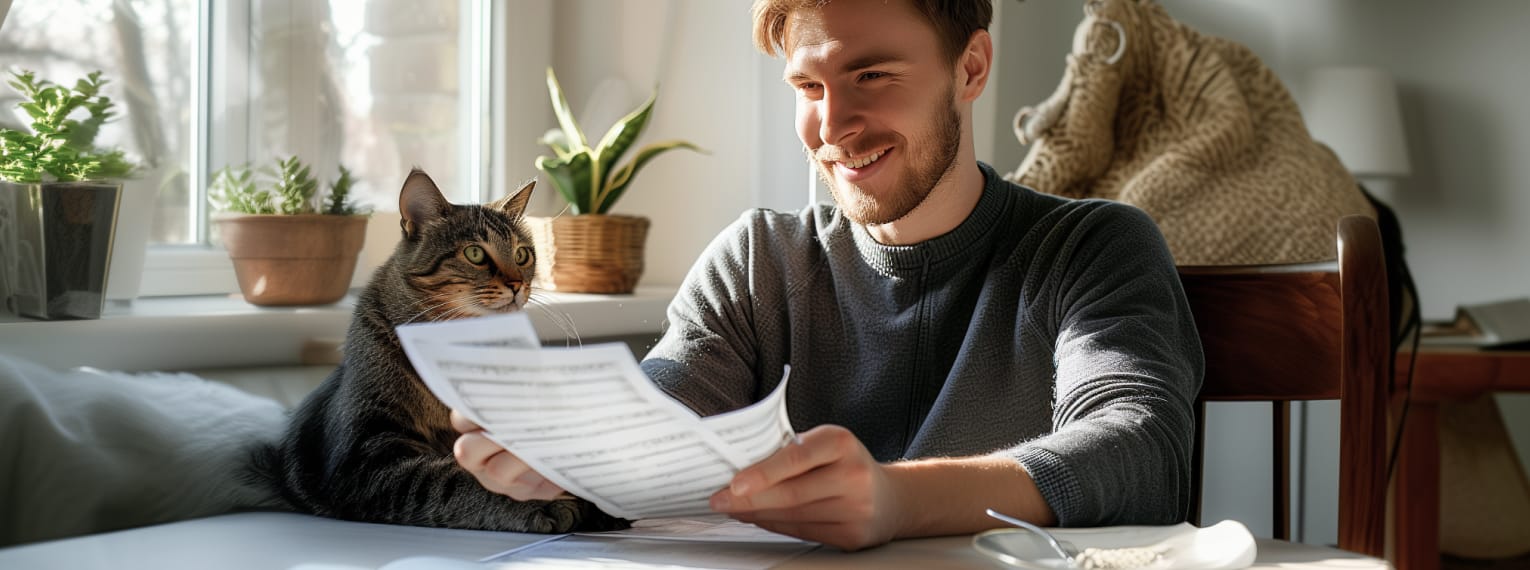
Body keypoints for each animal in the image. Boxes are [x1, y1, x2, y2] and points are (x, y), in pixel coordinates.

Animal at [253, 168, 624, 531]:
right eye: (475, 253)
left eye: (523, 254)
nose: (518, 284)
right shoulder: (360, 460)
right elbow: (451, 480)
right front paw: (539, 501)